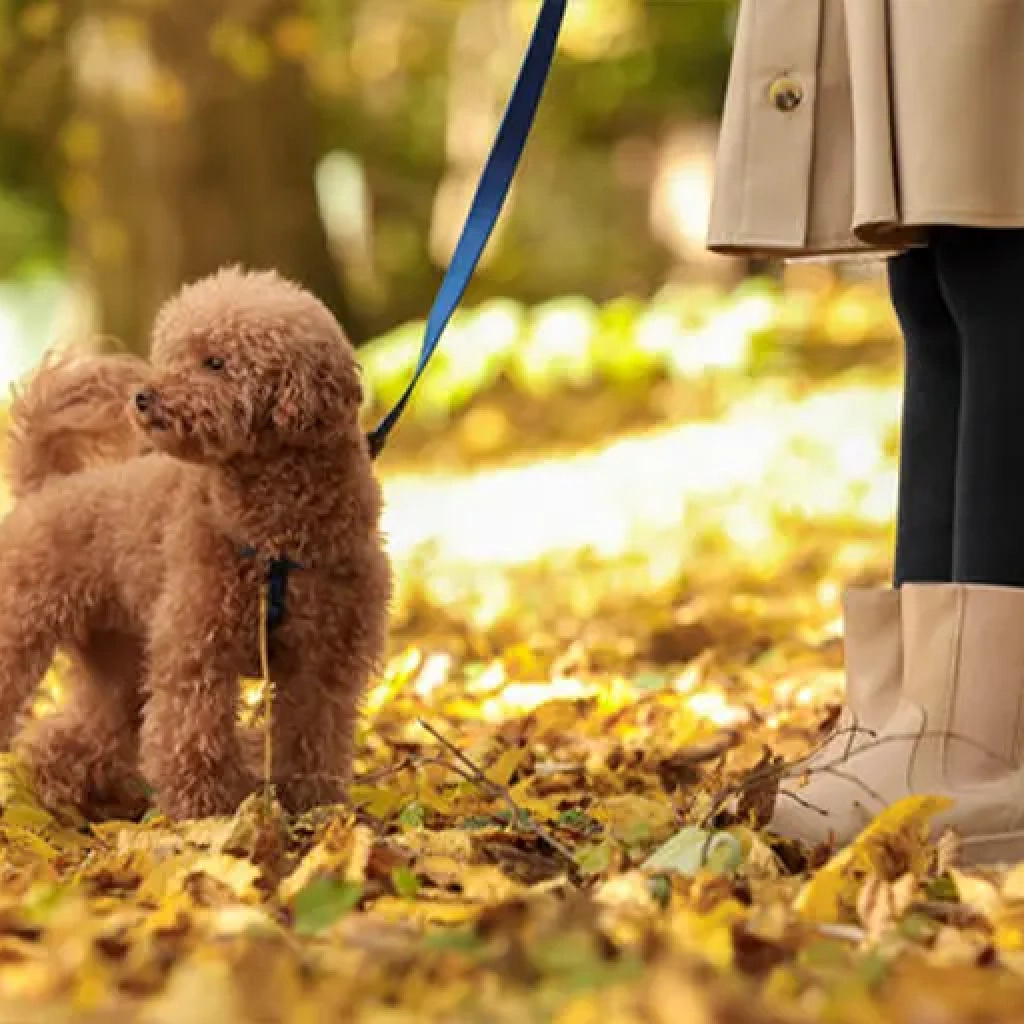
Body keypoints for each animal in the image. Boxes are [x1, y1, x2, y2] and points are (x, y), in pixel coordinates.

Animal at [0, 268, 389, 819]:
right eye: (172, 356)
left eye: (216, 363)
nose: (144, 396)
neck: (275, 539)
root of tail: (48, 486)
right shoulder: (198, 649)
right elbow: (193, 737)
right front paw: (201, 816)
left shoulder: (325, 661)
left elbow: (313, 737)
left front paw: (313, 808)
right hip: (23, 627)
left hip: (119, 657)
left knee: (81, 733)